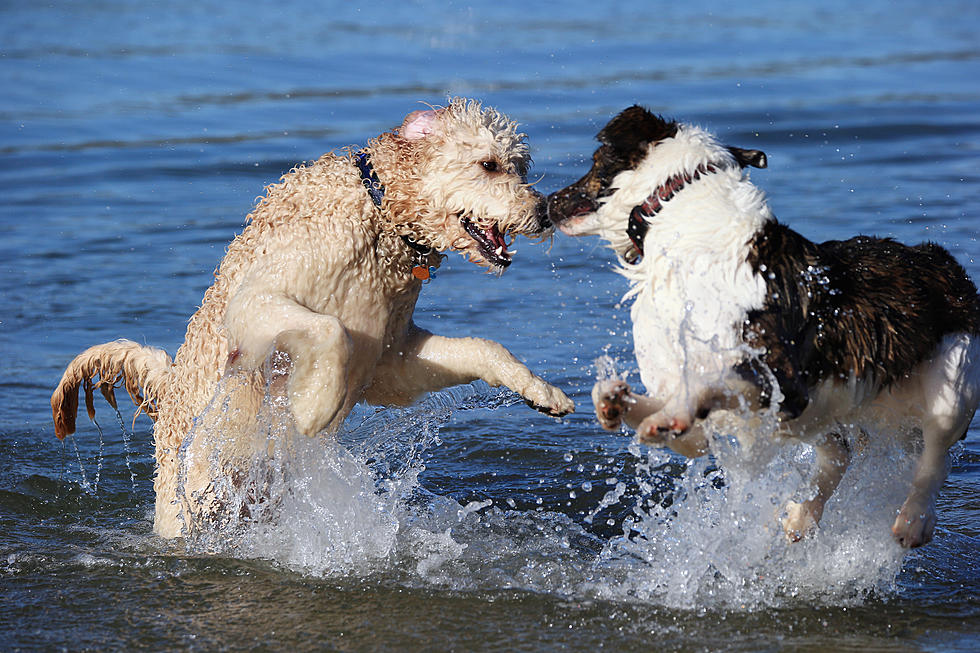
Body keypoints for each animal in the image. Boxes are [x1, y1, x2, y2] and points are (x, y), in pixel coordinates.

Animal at [51, 97, 576, 536]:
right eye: (488, 164)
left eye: (521, 165)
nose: (545, 211)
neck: (379, 216)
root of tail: (171, 386)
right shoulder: (257, 300)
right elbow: (331, 330)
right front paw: (313, 408)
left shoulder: (394, 362)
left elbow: (483, 348)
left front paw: (541, 390)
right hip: (188, 498)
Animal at [548, 105, 976, 544]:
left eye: (594, 162)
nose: (549, 201)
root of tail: (938, 258)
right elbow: (680, 425)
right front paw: (615, 402)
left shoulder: (781, 374)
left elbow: (710, 381)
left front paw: (670, 414)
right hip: (830, 408)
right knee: (838, 451)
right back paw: (802, 515)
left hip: (954, 375)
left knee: (935, 452)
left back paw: (913, 519)